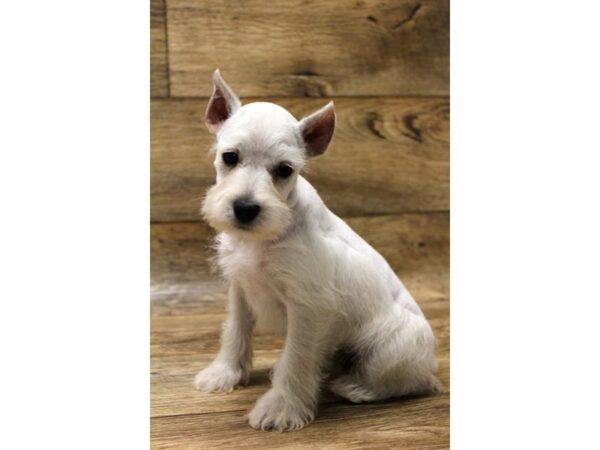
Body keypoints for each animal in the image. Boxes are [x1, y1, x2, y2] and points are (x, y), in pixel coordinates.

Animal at [195, 70, 438, 432]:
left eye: (284, 169)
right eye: (230, 157)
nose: (245, 208)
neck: (265, 238)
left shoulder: (309, 309)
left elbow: (295, 359)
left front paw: (280, 407)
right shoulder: (240, 287)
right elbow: (235, 332)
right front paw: (223, 374)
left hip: (391, 348)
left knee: (404, 381)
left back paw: (354, 387)